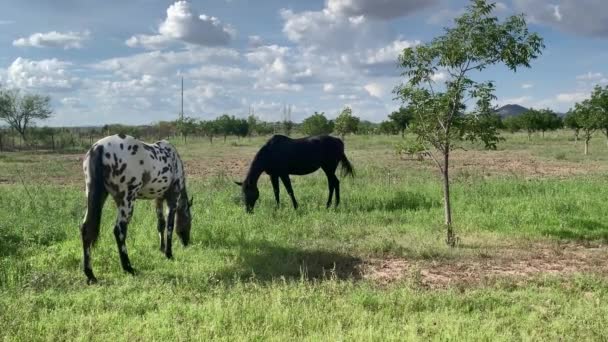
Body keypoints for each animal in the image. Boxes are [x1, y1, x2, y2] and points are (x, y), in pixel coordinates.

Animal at [79, 134, 191, 284]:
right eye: (190, 222)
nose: (186, 243)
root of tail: (99, 147)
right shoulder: (172, 198)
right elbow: (169, 226)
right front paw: (168, 253)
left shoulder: (158, 199)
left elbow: (160, 224)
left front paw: (161, 249)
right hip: (127, 200)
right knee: (119, 230)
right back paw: (128, 267)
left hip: (95, 195)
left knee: (86, 229)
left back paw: (90, 274)